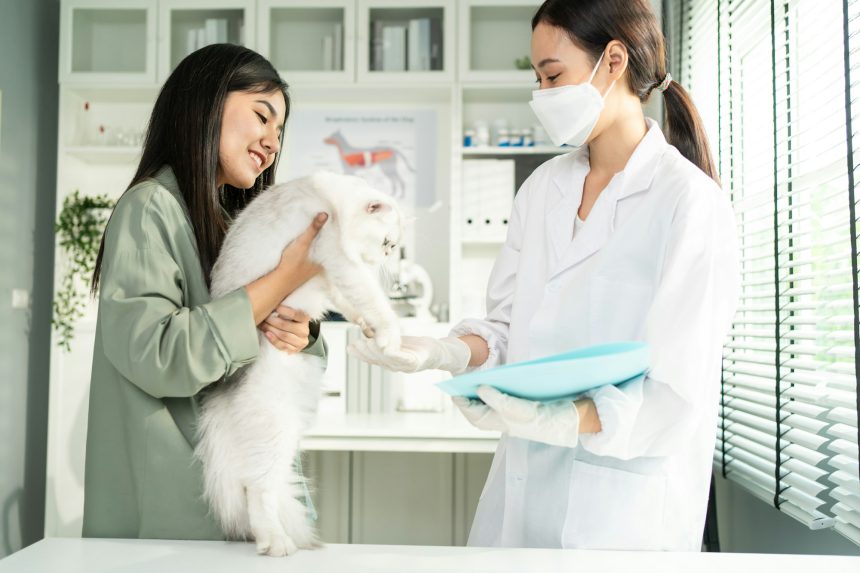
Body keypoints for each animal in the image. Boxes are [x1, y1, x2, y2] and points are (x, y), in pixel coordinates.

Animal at [198, 170, 404, 556]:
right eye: (388, 243)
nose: (386, 255)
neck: (332, 203)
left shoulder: (333, 276)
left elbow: (353, 306)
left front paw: (369, 330)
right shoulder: (339, 261)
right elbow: (373, 300)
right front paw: (389, 335)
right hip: (275, 431)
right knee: (257, 489)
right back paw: (275, 543)